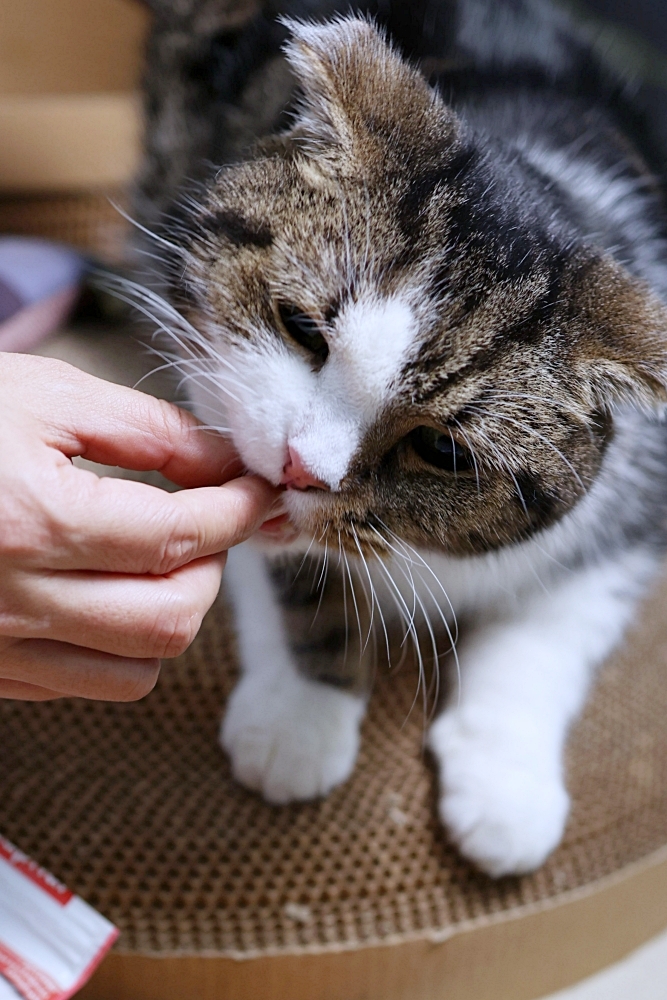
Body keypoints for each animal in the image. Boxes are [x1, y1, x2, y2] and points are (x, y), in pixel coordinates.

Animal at [133, 0, 667, 876]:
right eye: (301, 328)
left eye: (442, 451)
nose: (300, 467)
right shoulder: (217, 400)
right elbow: (291, 564)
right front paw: (300, 716)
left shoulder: (636, 507)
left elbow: (547, 629)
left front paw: (504, 789)